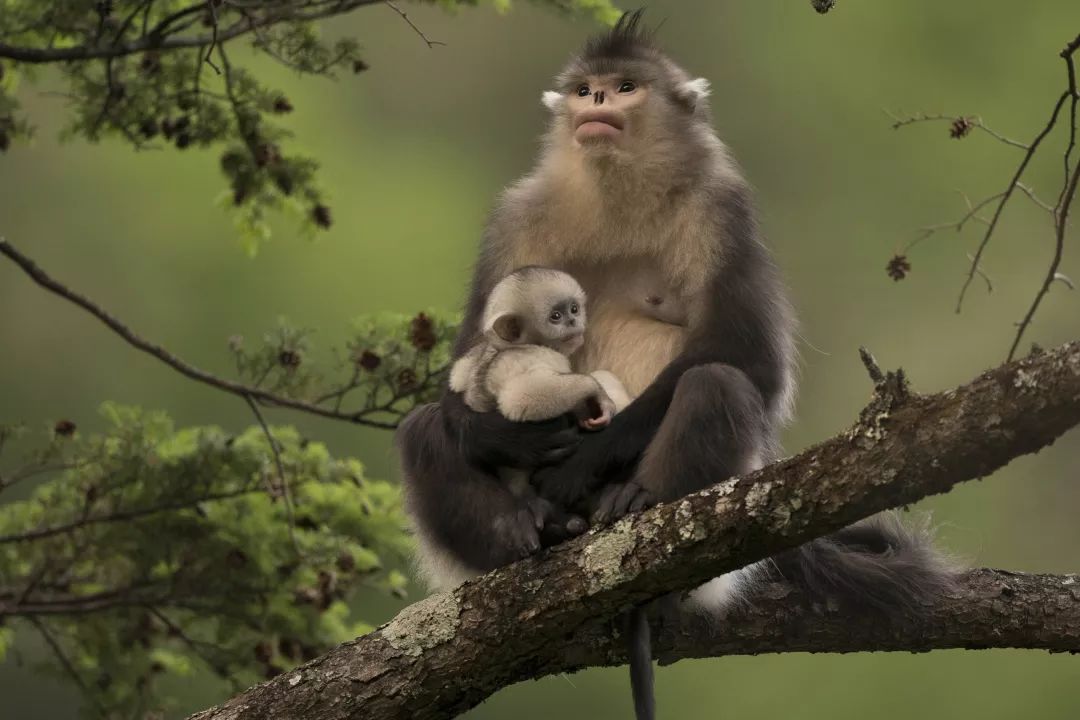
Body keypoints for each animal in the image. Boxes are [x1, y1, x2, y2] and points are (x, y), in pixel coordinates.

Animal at [449, 267, 630, 526]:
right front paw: (597, 394)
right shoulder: (528, 357)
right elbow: (521, 397)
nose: (573, 321)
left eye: (574, 309)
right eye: (555, 316)